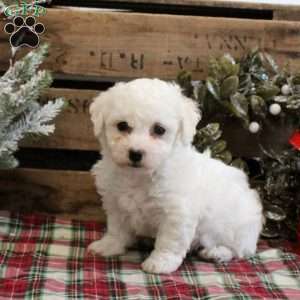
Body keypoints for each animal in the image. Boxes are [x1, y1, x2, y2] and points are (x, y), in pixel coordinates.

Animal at [88, 78, 264, 274]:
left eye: (159, 129)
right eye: (122, 126)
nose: (135, 153)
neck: (141, 175)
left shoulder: (176, 213)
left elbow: (169, 241)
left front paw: (160, 262)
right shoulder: (115, 203)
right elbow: (117, 228)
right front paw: (108, 245)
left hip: (236, 226)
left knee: (239, 249)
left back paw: (216, 252)